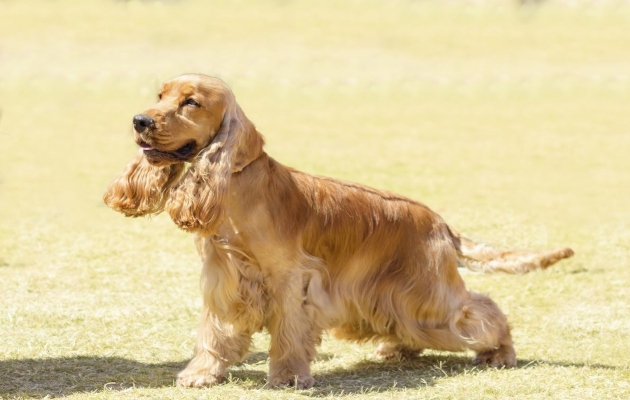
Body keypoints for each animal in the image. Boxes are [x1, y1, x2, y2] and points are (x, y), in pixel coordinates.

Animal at [105, 74, 576, 388]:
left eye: (191, 102)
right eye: (161, 96)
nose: (140, 120)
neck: (236, 186)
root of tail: (440, 222)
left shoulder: (290, 279)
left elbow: (288, 333)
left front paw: (288, 376)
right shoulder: (224, 278)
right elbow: (215, 333)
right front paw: (201, 374)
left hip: (428, 293)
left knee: (482, 311)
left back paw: (501, 352)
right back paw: (396, 348)